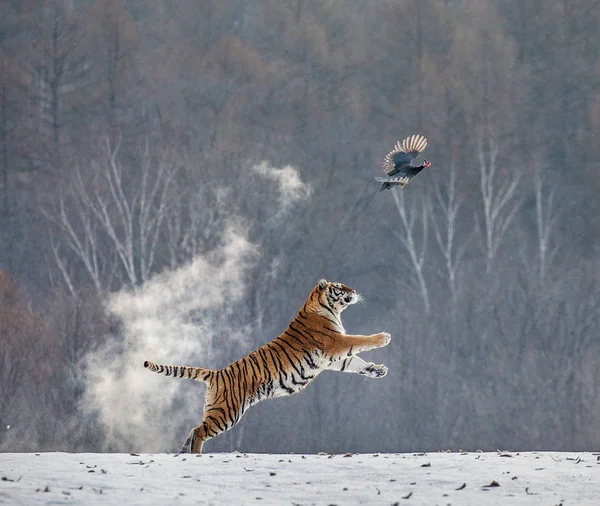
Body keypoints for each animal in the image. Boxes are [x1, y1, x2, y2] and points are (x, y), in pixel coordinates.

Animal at [143, 278, 392, 452]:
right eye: (340, 287)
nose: (354, 291)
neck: (326, 307)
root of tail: (216, 373)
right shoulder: (336, 343)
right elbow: (360, 340)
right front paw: (383, 337)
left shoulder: (334, 358)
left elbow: (356, 363)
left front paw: (377, 370)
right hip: (226, 412)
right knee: (198, 431)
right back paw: (195, 454)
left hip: (216, 409)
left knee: (193, 429)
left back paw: (182, 452)